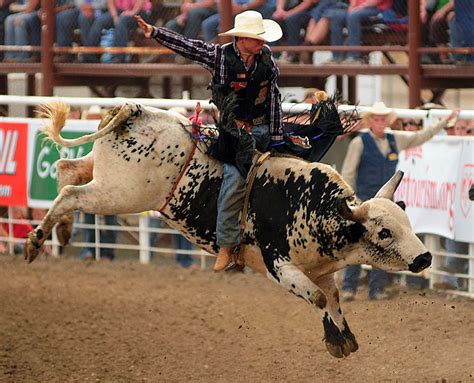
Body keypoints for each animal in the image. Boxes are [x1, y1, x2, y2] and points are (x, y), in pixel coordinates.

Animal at [26, 102, 434, 360]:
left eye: (407, 223)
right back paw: (35, 241)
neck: (314, 206)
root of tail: (134, 109)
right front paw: (335, 338)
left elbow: (332, 298)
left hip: (105, 175)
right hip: (120, 193)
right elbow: (318, 299)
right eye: (383, 232)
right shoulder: (278, 265)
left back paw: (60, 233)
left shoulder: (319, 269)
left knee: (65, 169)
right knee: (70, 193)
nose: (425, 257)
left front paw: (344, 336)